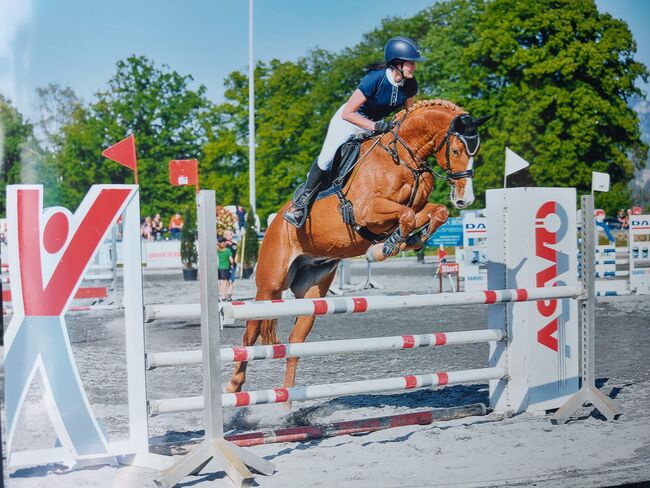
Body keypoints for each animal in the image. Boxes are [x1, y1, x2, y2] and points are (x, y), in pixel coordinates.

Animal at [227, 101, 486, 394]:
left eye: (476, 153)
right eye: (455, 151)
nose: (465, 199)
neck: (404, 158)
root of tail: (274, 225)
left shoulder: (417, 207)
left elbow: (435, 212)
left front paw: (410, 240)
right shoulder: (367, 210)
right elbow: (407, 215)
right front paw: (385, 247)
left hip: (312, 291)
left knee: (295, 342)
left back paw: (288, 399)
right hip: (270, 285)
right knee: (250, 332)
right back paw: (234, 387)